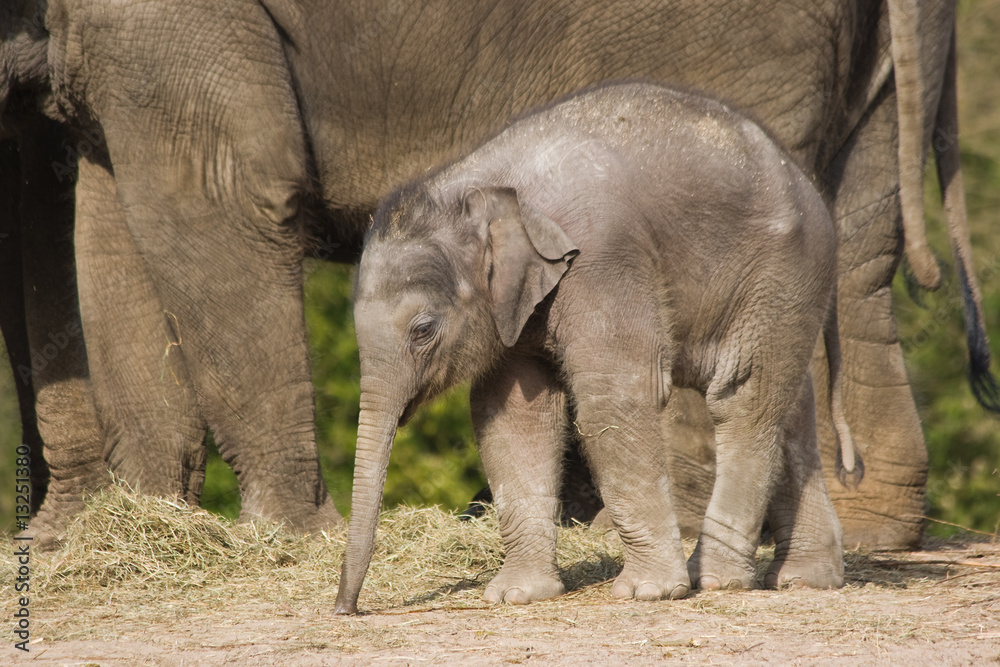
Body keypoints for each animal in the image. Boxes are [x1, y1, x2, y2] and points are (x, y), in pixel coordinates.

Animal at [1, 0, 993, 546]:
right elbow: (101, 221)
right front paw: (115, 530)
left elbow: (215, 190)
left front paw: (283, 537)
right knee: (855, 253)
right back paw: (865, 524)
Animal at [335, 82, 863, 613]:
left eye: (423, 330)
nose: (346, 609)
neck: (479, 187)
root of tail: (808, 185)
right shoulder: (517, 308)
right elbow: (512, 417)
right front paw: (516, 595)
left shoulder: (602, 257)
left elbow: (616, 396)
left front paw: (649, 592)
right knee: (789, 407)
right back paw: (804, 579)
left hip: (780, 275)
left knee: (741, 398)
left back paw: (715, 580)